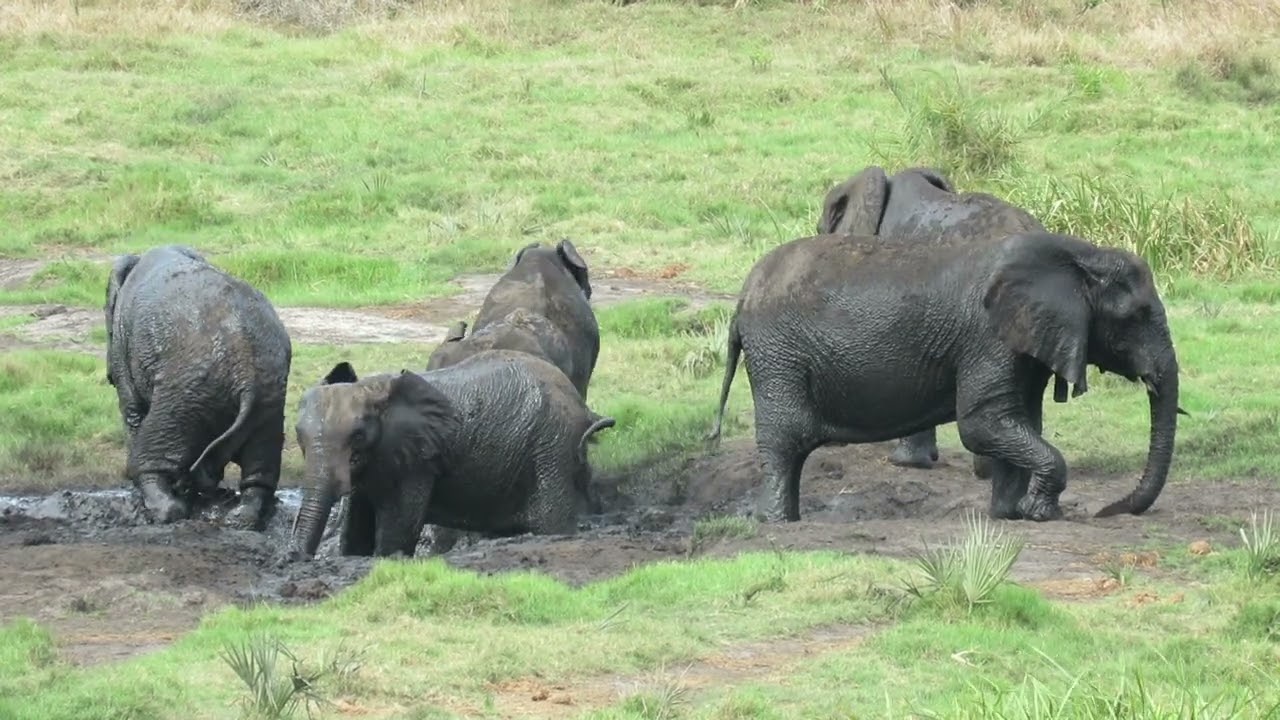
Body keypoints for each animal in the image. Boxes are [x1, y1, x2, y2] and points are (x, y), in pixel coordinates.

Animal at [105, 244, 292, 529]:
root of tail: (246, 374)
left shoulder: (121, 341)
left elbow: (132, 410)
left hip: (187, 389)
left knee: (157, 440)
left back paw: (166, 508)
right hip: (268, 398)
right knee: (261, 462)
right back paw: (239, 518)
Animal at [287, 350, 616, 559]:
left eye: (357, 437)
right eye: (298, 436)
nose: (293, 557)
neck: (372, 389)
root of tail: (582, 406)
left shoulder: (417, 459)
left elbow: (398, 525)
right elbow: (357, 526)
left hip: (551, 447)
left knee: (551, 523)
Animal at [706, 230, 1181, 524]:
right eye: (1137, 316)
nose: (1107, 512)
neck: (1079, 255)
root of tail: (742, 297)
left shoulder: (1023, 342)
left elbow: (1020, 420)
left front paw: (1009, 514)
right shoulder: (988, 338)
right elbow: (981, 425)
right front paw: (1039, 514)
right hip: (778, 355)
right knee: (786, 442)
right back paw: (778, 523)